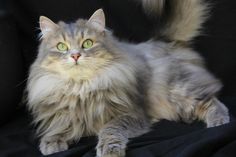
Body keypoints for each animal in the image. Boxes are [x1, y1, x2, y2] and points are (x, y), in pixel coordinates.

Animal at [26, 0, 230, 157]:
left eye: (88, 43)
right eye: (62, 47)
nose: (75, 55)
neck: (82, 88)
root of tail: (163, 41)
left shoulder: (131, 114)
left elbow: (110, 129)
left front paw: (109, 150)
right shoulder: (64, 117)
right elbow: (58, 128)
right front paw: (51, 143)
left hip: (178, 91)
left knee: (210, 101)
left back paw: (219, 122)